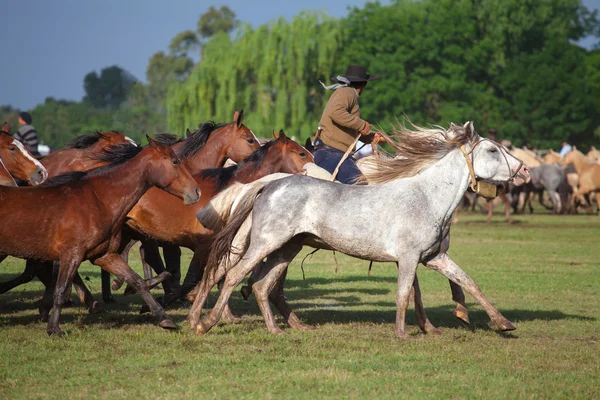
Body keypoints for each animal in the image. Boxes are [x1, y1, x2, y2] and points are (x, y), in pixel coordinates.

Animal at [0, 138, 202, 334]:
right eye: (175, 161)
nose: (197, 191)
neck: (99, 199)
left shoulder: (104, 256)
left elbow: (137, 281)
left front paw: (164, 319)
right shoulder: (72, 254)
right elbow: (61, 289)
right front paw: (54, 329)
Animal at [189, 122, 528, 338]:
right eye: (492, 150)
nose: (524, 169)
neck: (427, 196)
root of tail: (271, 184)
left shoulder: (433, 257)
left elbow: (468, 282)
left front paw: (503, 323)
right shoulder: (408, 258)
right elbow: (405, 293)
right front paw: (402, 333)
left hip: (287, 248)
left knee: (261, 285)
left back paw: (275, 329)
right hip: (263, 244)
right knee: (232, 275)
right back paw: (203, 323)